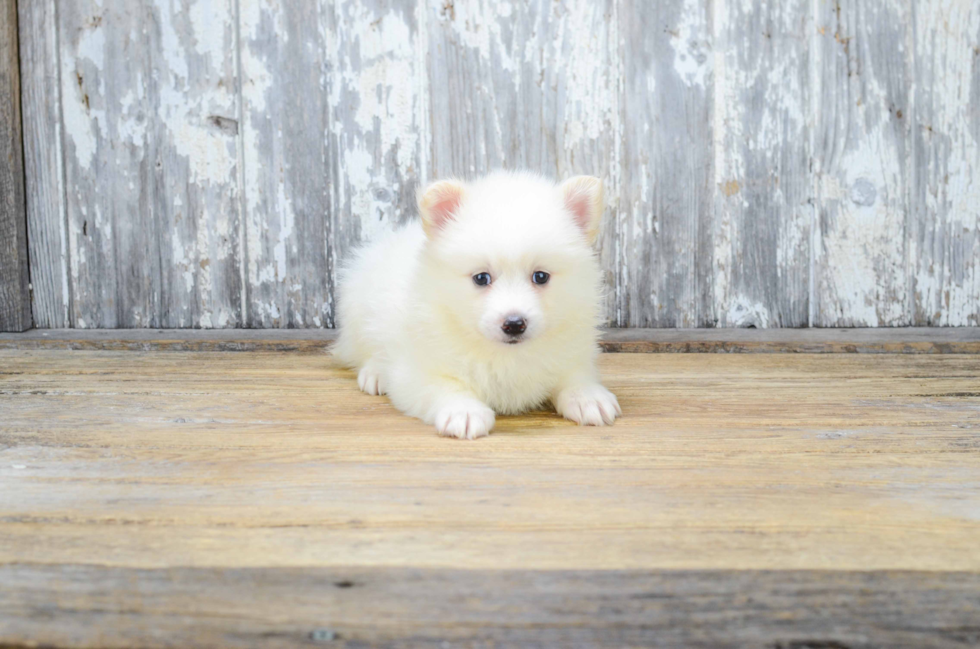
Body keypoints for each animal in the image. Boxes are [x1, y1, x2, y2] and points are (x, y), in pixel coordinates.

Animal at [334, 170, 616, 438]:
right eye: (481, 278)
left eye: (540, 276)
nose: (514, 324)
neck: (505, 355)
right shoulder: (417, 370)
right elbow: (446, 386)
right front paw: (464, 411)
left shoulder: (572, 352)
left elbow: (575, 373)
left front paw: (588, 396)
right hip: (359, 306)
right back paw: (375, 373)